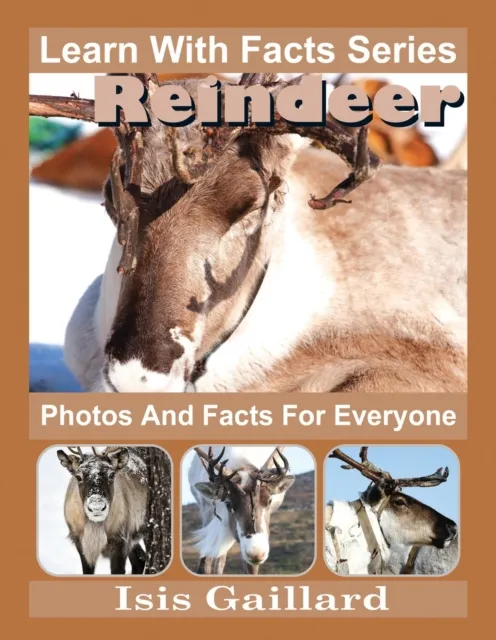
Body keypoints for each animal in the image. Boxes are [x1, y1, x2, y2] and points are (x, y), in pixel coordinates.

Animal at [56, 446, 148, 575]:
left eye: (111, 474)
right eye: (78, 476)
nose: (97, 507)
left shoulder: (120, 542)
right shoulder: (81, 544)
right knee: (140, 560)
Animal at [187, 446, 295, 574]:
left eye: (269, 501)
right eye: (228, 503)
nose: (256, 552)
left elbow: (251, 569)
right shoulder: (207, 512)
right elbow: (204, 562)